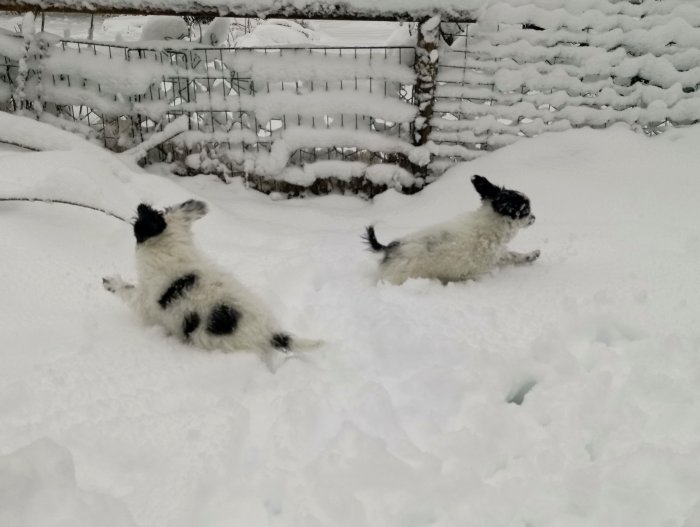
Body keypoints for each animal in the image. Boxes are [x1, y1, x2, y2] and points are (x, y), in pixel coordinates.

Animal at [101, 200, 320, 356]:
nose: (141, 205)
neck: (172, 249)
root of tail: (271, 334)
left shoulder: (147, 301)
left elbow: (129, 290)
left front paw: (110, 283)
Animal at [364, 175, 540, 284]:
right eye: (526, 210)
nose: (534, 218)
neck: (491, 221)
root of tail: (389, 250)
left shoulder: (497, 254)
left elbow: (511, 255)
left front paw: (530, 256)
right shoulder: (477, 267)